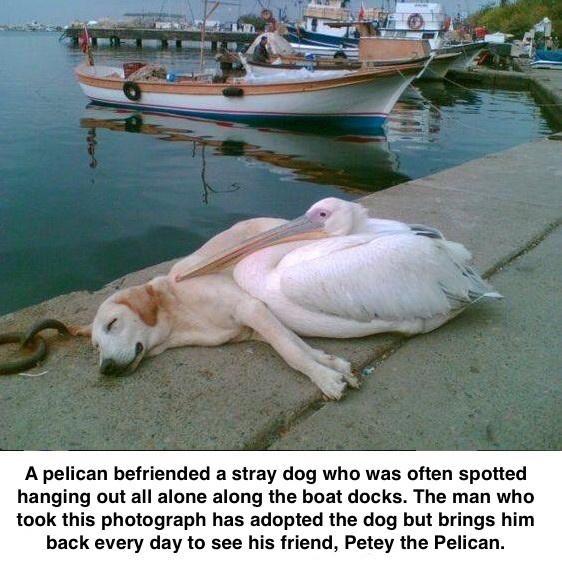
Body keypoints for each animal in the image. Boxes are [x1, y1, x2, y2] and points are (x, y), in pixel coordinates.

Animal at [75, 217, 354, 400]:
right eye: (96, 347)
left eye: (112, 323)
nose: (106, 368)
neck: (178, 313)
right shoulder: (256, 323)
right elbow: (296, 343)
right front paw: (333, 366)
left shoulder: (251, 307)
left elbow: (292, 352)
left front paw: (325, 379)